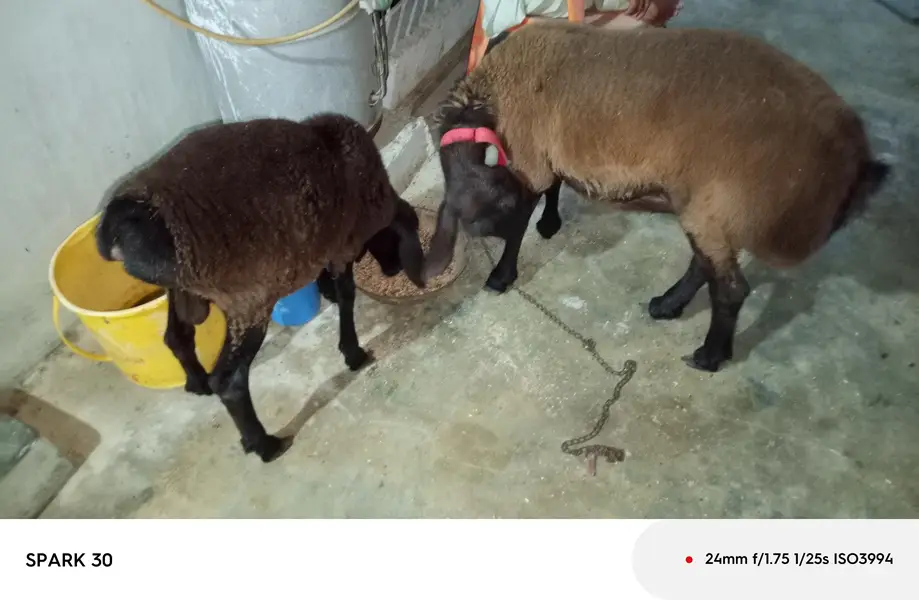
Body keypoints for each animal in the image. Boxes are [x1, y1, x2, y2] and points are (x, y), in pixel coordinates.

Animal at [95, 113, 425, 463]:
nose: (394, 270)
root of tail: (124, 221)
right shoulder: (342, 247)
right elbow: (347, 295)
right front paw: (353, 353)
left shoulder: (320, 242)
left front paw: (327, 293)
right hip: (249, 302)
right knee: (230, 382)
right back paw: (265, 445)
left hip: (185, 291)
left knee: (177, 336)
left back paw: (197, 383)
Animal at [424, 21, 890, 373]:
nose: (479, 229)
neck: (486, 99)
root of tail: (853, 158)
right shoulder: (541, 155)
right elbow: (550, 190)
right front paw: (550, 222)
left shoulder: (528, 155)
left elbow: (522, 218)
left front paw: (502, 275)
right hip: (710, 208)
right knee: (707, 267)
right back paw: (668, 305)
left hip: (717, 204)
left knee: (731, 288)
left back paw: (709, 356)